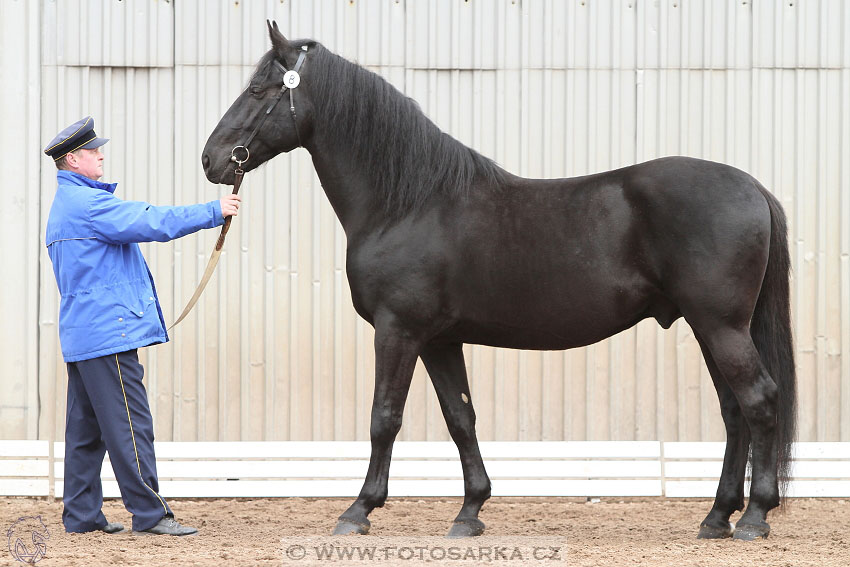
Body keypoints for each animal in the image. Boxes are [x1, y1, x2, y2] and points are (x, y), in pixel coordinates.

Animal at [204, 24, 796, 544]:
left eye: (257, 91)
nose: (211, 160)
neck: (408, 203)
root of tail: (752, 187)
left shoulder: (398, 331)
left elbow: (383, 418)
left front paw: (358, 511)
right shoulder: (440, 340)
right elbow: (461, 418)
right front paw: (470, 512)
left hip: (721, 326)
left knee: (759, 401)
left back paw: (754, 518)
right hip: (709, 328)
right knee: (734, 412)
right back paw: (716, 517)